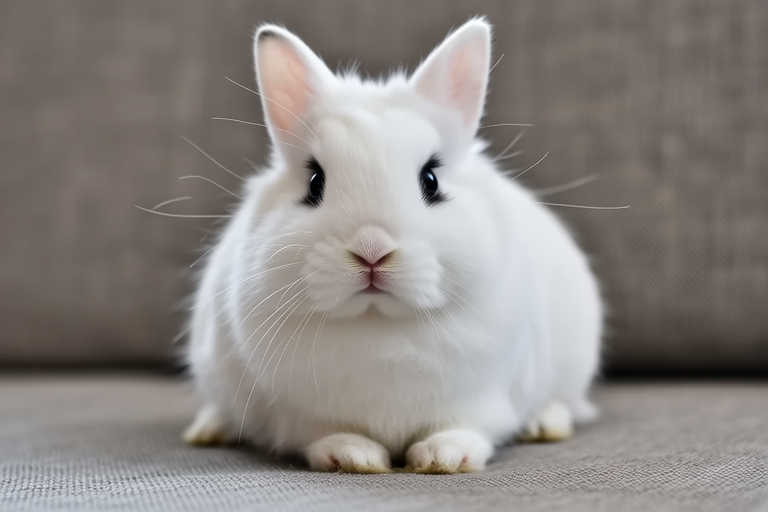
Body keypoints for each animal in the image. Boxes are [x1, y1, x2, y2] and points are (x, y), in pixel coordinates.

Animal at [183, 17, 602, 474]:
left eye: (431, 180)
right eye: (314, 182)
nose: (371, 250)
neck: (378, 323)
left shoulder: (482, 398)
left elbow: (467, 427)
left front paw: (443, 457)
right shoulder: (299, 415)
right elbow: (321, 433)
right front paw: (352, 456)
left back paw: (546, 424)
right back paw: (209, 430)